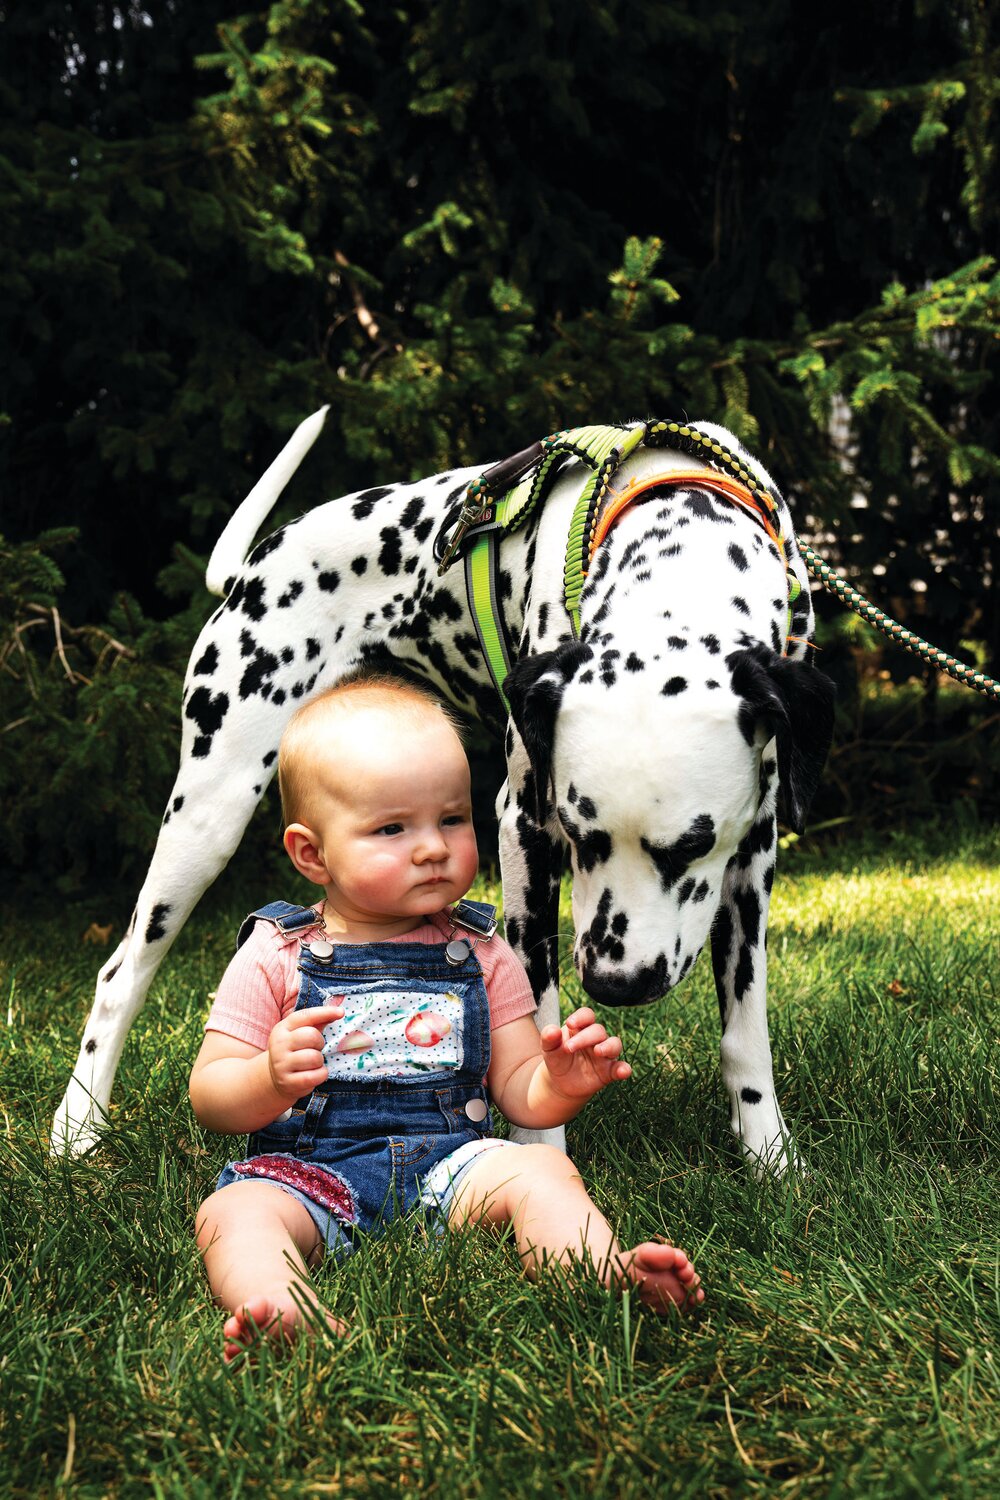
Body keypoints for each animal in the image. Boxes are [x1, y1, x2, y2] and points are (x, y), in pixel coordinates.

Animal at [52, 411, 839, 1170]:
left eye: (695, 845)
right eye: (577, 832)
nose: (615, 984)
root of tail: (258, 564)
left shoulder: (753, 853)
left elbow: (745, 1028)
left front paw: (772, 1161)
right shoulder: (525, 830)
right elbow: (536, 1011)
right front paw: (544, 1156)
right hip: (210, 812)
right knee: (121, 976)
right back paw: (76, 1132)